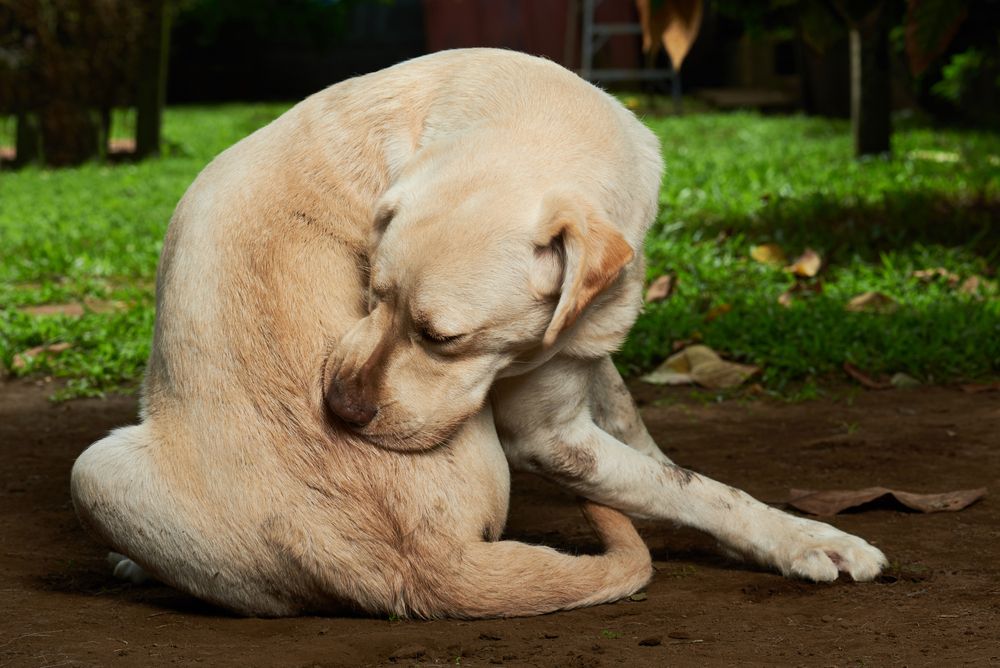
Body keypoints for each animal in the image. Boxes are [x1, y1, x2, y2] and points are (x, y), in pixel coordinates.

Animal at [68, 49, 884, 620]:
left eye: (443, 338)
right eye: (371, 294)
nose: (339, 410)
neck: (529, 111)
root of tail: (423, 567)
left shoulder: (581, 365)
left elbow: (658, 455)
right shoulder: (550, 437)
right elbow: (698, 488)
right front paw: (811, 539)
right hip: (91, 469)